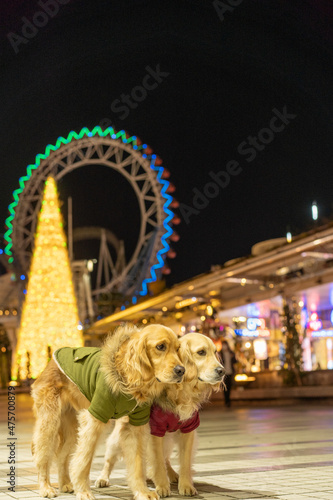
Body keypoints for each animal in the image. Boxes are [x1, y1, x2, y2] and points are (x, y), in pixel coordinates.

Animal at [30, 324, 184, 500]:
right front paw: (83, 491)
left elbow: (138, 464)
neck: (126, 375)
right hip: (50, 422)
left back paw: (65, 484)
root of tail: (47, 365)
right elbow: (84, 460)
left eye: (178, 349)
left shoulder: (137, 425)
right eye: (160, 347)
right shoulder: (95, 418)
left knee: (61, 455)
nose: (181, 370)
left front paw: (142, 492)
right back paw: (46, 487)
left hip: (71, 428)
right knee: (42, 456)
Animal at [96, 332, 226, 496]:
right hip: (118, 439)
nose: (222, 371)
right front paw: (162, 486)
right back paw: (103, 478)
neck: (181, 391)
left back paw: (172, 474)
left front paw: (186, 485)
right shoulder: (155, 430)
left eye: (215, 352)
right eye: (201, 352)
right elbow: (157, 461)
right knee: (109, 459)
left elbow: (184, 462)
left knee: (166, 459)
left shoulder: (188, 429)